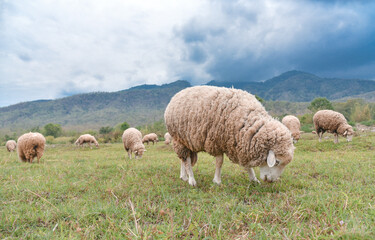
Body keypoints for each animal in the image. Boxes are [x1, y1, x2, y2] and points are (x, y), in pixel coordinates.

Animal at [165, 85, 296, 187]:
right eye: (277, 162)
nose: (270, 181)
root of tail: (177, 95)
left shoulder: (240, 144)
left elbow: (247, 165)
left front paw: (253, 179)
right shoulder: (216, 141)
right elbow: (219, 162)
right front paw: (217, 181)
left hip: (186, 140)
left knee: (183, 159)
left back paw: (184, 176)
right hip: (179, 137)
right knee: (186, 159)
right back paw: (191, 180)